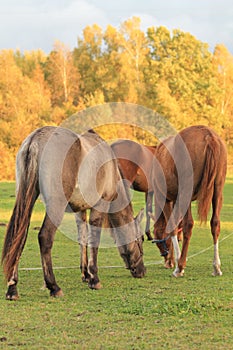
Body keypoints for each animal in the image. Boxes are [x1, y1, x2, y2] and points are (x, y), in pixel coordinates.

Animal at [0, 127, 146, 300]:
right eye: (141, 239)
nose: (142, 270)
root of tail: (36, 139)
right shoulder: (100, 204)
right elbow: (94, 239)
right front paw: (94, 278)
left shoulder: (80, 210)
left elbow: (82, 238)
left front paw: (86, 274)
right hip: (56, 205)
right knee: (45, 237)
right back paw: (54, 286)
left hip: (25, 200)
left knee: (18, 239)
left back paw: (12, 288)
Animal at [150, 125, 227, 276]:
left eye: (158, 241)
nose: (166, 259)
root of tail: (208, 136)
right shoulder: (178, 200)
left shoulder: (166, 198)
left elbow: (173, 226)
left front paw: (177, 262)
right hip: (218, 190)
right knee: (215, 223)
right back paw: (216, 267)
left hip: (186, 192)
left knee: (189, 225)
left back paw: (179, 268)